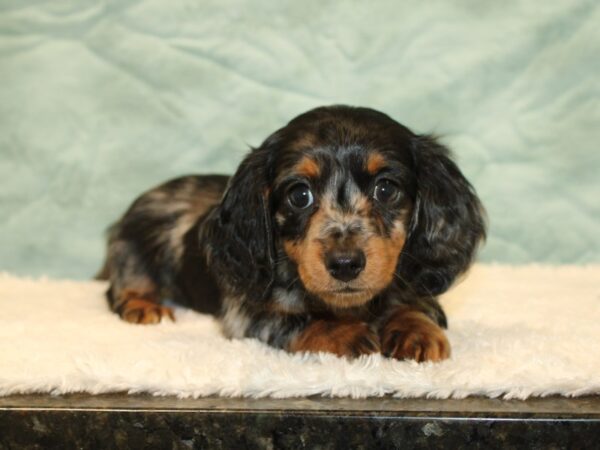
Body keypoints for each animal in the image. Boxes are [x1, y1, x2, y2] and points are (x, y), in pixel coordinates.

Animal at [96, 104, 486, 362]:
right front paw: (346, 334)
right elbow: (297, 321)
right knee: (120, 289)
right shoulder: (249, 315)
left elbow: (414, 305)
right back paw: (143, 306)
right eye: (300, 195)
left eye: (386, 189)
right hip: (132, 254)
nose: (345, 264)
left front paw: (415, 331)